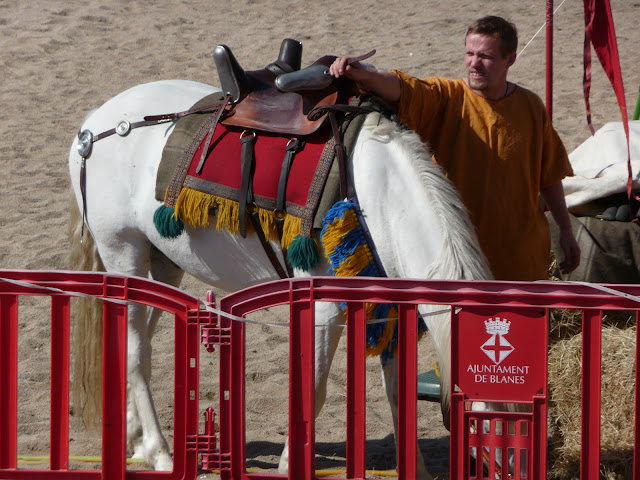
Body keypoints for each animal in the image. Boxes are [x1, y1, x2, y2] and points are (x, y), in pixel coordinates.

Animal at [67, 79, 492, 476]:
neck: (377, 196)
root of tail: (93, 127)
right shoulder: (325, 309)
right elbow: (313, 391)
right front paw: (290, 466)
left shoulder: (390, 311)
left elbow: (398, 394)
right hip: (124, 252)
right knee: (135, 351)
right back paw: (158, 451)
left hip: (163, 266)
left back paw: (135, 436)